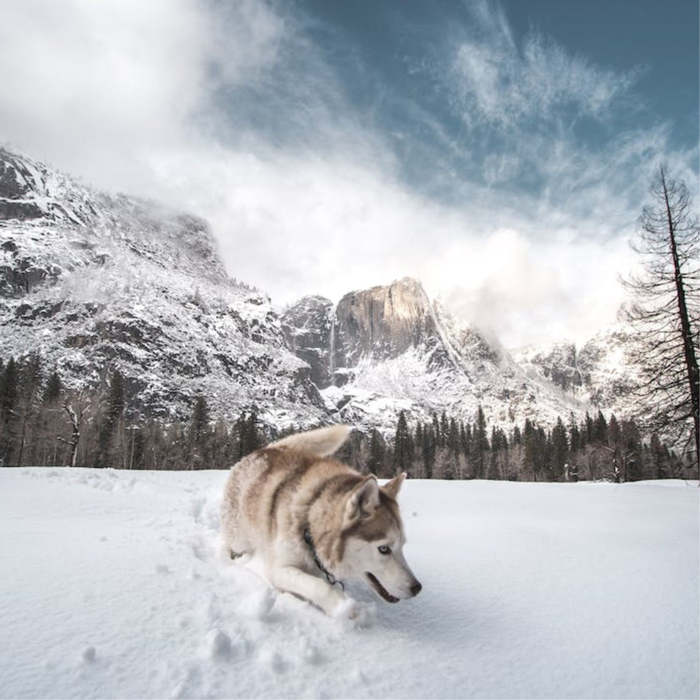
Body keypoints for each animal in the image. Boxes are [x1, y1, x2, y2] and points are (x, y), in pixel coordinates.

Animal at [221, 424, 422, 616]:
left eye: (402, 545)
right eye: (384, 549)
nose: (417, 588)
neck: (309, 519)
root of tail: (266, 449)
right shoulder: (279, 569)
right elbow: (320, 587)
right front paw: (343, 608)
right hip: (239, 538)